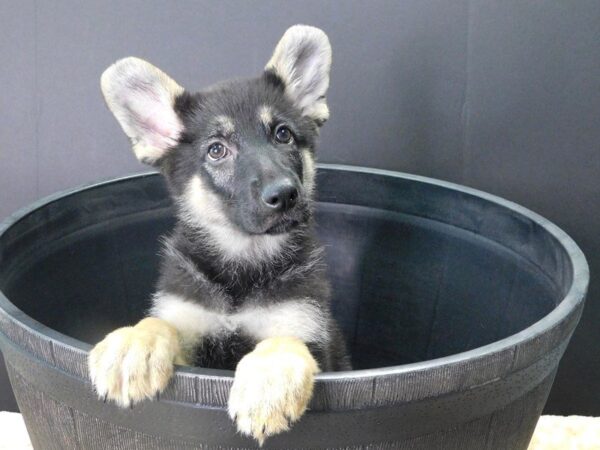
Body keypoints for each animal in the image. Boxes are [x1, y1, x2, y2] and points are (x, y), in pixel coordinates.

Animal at [89, 24, 352, 442]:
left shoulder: (307, 328)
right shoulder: (191, 327)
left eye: (283, 134)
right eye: (217, 150)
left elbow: (283, 339)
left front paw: (266, 383)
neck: (243, 260)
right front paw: (133, 344)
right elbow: (160, 322)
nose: (285, 194)